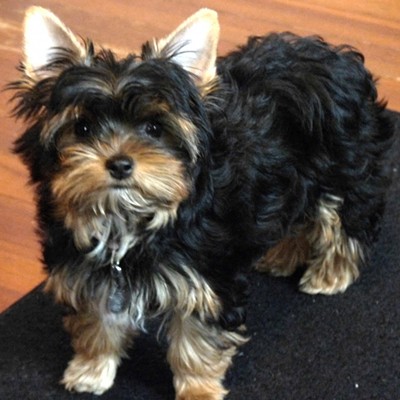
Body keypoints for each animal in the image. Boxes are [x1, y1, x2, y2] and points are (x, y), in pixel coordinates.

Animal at [10, 6, 394, 400]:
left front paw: (198, 390)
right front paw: (91, 370)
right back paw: (283, 256)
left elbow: (196, 343)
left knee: (347, 215)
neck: (129, 219)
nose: (119, 163)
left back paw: (331, 274)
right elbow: (97, 320)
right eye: (83, 128)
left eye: (154, 128)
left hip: (345, 162)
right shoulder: (87, 269)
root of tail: (336, 56)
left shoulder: (208, 278)